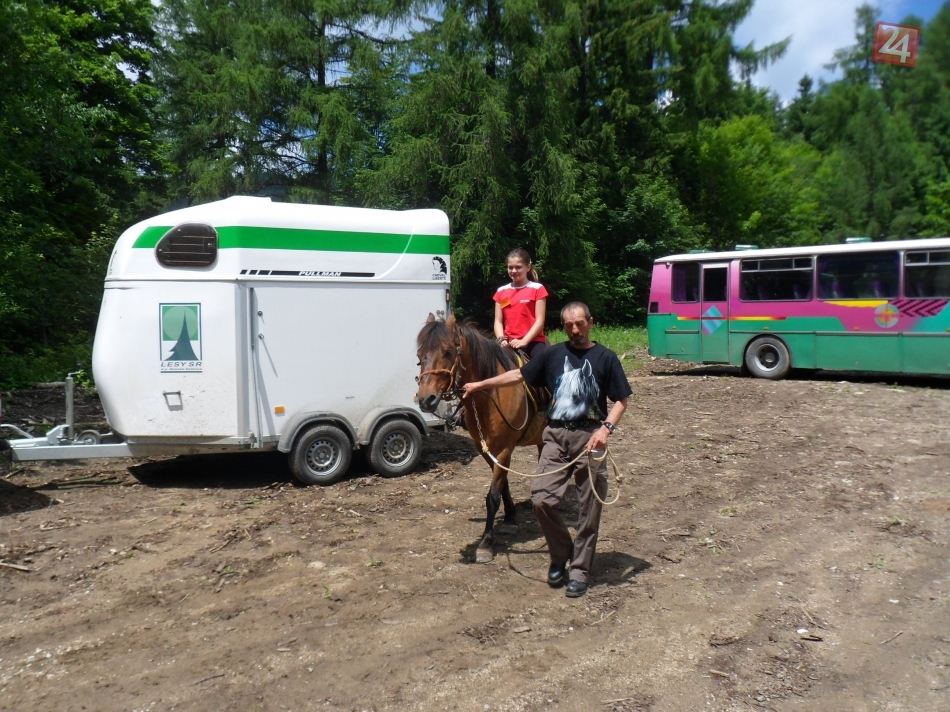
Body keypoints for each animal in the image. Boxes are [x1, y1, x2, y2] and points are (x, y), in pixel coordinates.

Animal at [415, 313, 545, 563]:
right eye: (419, 356)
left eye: (448, 352)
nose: (426, 399)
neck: (491, 393)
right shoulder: (485, 448)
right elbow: (502, 484)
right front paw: (510, 518)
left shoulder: (504, 449)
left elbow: (493, 495)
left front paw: (485, 544)